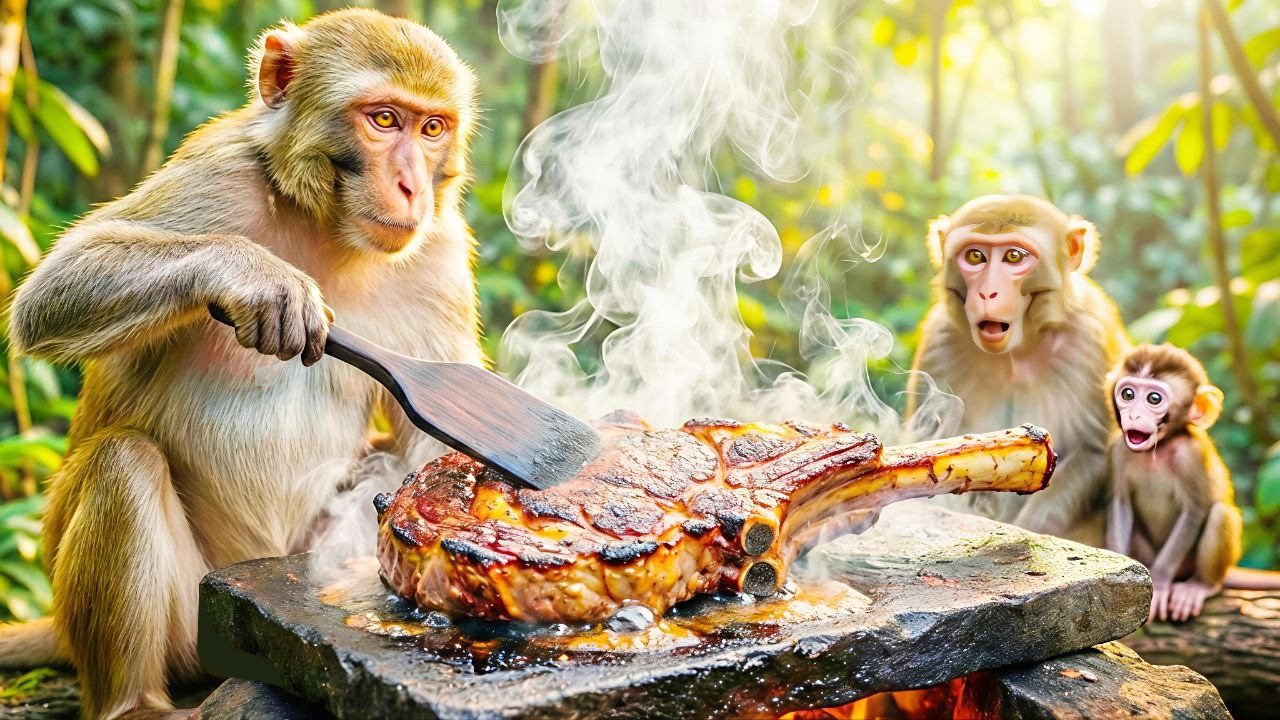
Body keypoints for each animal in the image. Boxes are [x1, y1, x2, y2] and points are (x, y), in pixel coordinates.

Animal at [0, 10, 482, 719]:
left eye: (432, 129)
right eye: (384, 119)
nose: (411, 186)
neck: (326, 227)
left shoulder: (438, 249)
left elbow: (427, 446)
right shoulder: (219, 174)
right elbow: (50, 292)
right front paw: (253, 276)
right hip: (188, 622)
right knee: (124, 461)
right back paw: (133, 701)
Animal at [908, 195, 1130, 543]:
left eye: (1014, 256)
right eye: (975, 256)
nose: (987, 292)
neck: (1014, 354)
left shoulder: (1088, 340)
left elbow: (1091, 452)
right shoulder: (938, 342)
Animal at [1105, 343, 1242, 622]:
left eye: (1154, 399)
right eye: (1127, 394)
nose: (1133, 416)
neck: (1156, 451)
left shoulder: (1191, 456)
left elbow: (1195, 511)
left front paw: (1158, 584)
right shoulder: (1119, 451)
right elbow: (1121, 503)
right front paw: (1121, 574)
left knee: (1220, 513)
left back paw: (1199, 585)